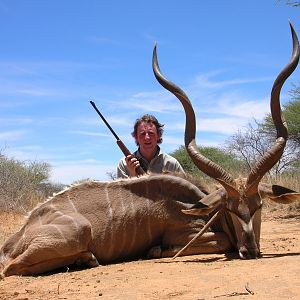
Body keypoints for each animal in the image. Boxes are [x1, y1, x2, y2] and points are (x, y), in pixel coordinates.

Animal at [0, 24, 298, 278]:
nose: (250, 250)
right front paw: (154, 250)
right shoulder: (188, 234)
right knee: (12, 268)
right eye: (230, 209)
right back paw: (86, 258)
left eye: (259, 206)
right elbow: (218, 242)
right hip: (75, 232)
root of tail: (13, 241)